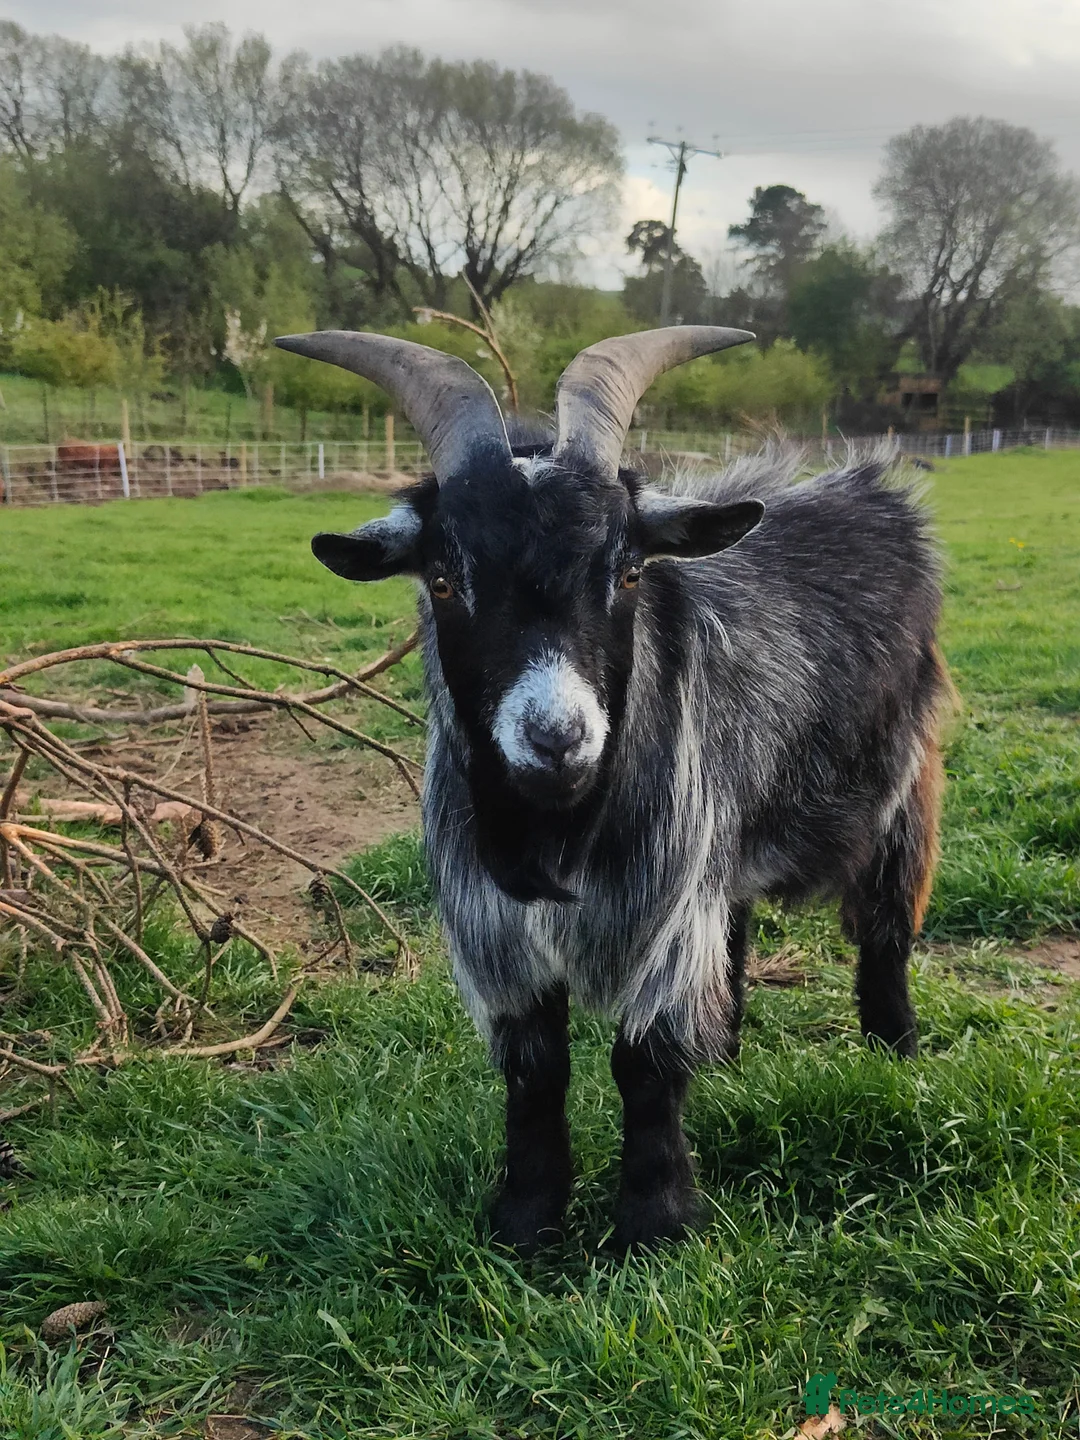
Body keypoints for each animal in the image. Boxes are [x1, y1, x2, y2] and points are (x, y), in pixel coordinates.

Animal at [276, 326, 948, 1251]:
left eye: (627, 571)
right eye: (444, 580)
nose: (557, 737)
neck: (557, 831)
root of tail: (870, 491)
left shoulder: (664, 903)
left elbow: (644, 1061)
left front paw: (653, 1222)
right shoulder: (498, 930)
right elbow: (534, 1066)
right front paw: (526, 1216)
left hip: (903, 786)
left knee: (885, 930)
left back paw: (895, 1058)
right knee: (736, 926)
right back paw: (726, 1057)